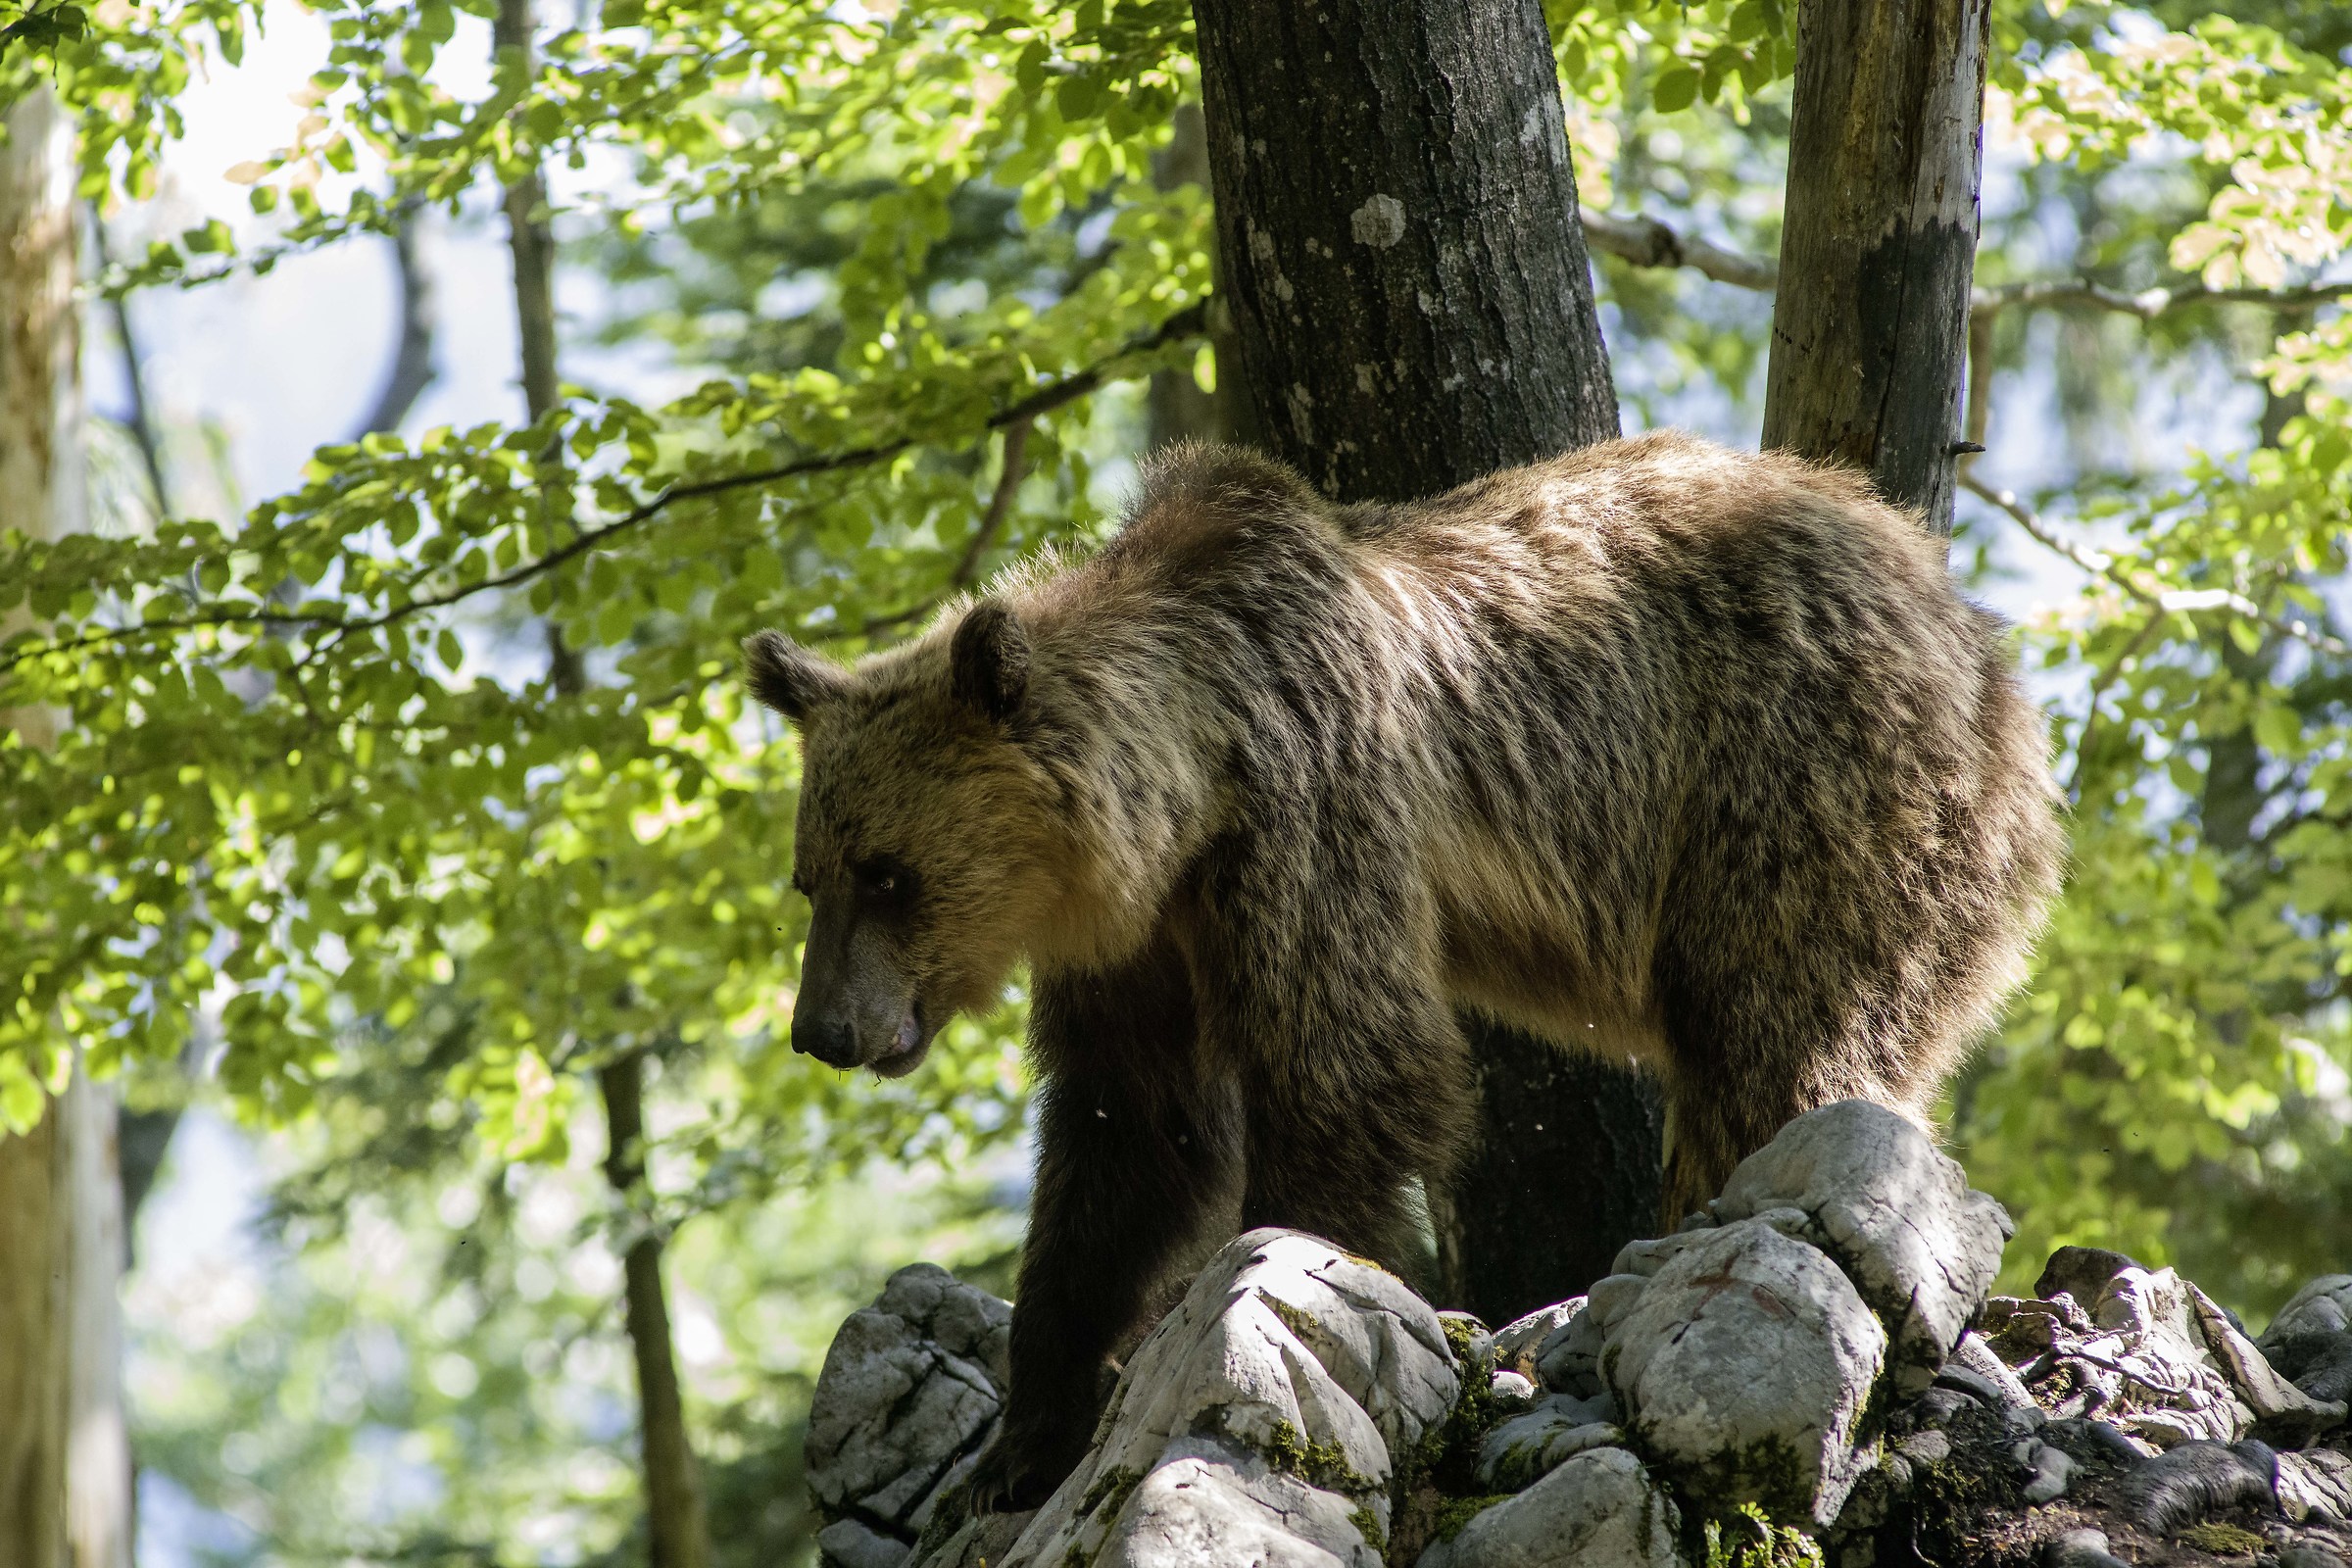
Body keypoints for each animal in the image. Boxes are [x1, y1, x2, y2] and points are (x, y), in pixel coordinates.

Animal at [742, 429, 2063, 1511]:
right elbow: (1131, 1138)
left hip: (1801, 783)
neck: (1186, 795)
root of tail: (1962, 614)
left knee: (1783, 1039)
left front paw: (1290, 1280)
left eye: (890, 873)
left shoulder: (1313, 817)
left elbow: (1348, 1071)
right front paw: (1025, 1437)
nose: (824, 1030)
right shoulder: (1137, 945)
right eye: (812, 877)